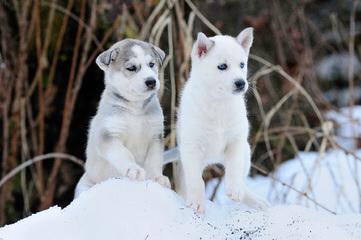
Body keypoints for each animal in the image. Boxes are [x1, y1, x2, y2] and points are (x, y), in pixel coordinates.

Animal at [75, 39, 170, 197]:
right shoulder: (109, 136)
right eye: (131, 68)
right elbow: (124, 154)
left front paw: (157, 178)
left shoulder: (155, 136)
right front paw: (134, 169)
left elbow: (154, 160)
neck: (136, 109)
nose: (151, 81)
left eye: (151, 64)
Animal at [173, 28, 268, 214]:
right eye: (222, 66)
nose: (241, 83)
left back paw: (254, 200)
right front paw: (196, 204)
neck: (218, 104)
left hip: (246, 151)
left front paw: (234, 190)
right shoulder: (191, 149)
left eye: (242, 65)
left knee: (241, 178)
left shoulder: (236, 142)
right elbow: (196, 181)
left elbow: (234, 169)